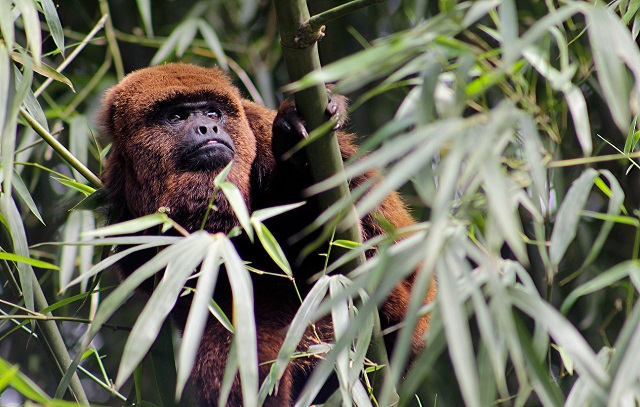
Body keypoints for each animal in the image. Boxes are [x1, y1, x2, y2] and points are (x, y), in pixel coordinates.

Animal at [99, 62, 436, 406]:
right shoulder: (120, 193)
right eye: (177, 117)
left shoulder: (258, 127)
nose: (208, 129)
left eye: (213, 113)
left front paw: (293, 138)